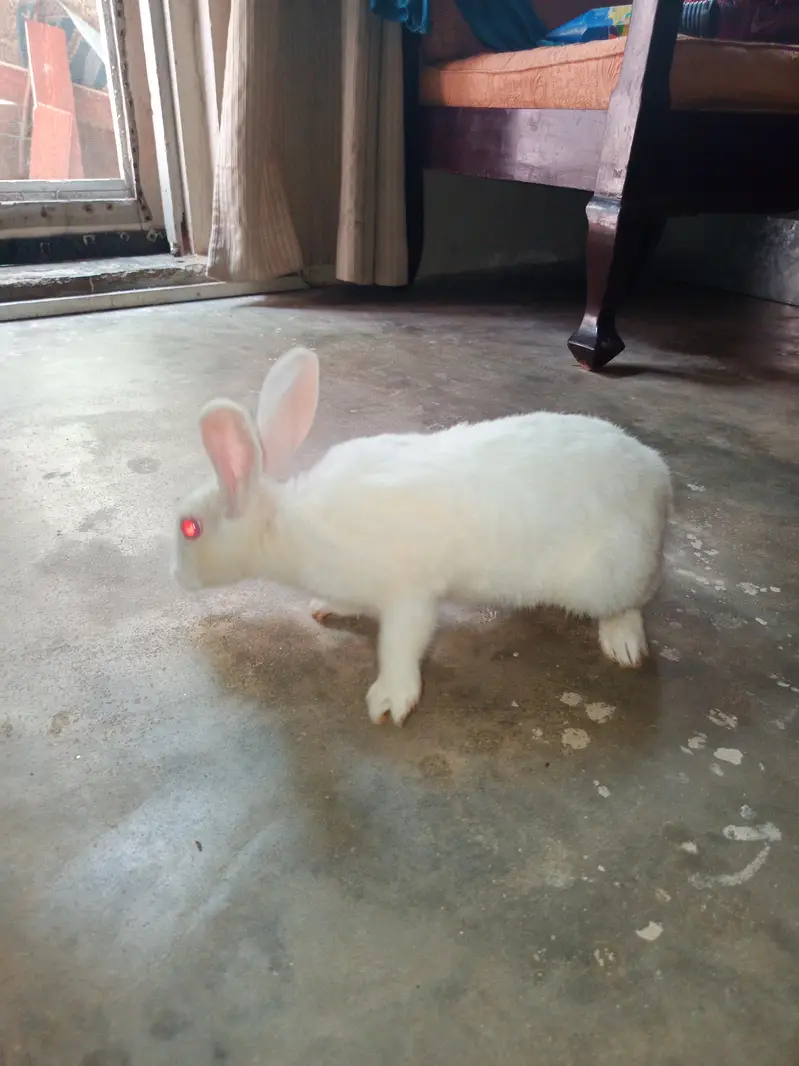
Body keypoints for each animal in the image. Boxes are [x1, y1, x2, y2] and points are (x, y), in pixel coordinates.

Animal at [172, 346, 671, 727]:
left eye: (189, 527)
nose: (175, 578)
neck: (288, 523)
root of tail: (656, 474)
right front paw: (324, 607)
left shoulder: (409, 596)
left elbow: (399, 645)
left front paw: (389, 702)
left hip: (608, 574)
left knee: (631, 604)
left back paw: (623, 645)